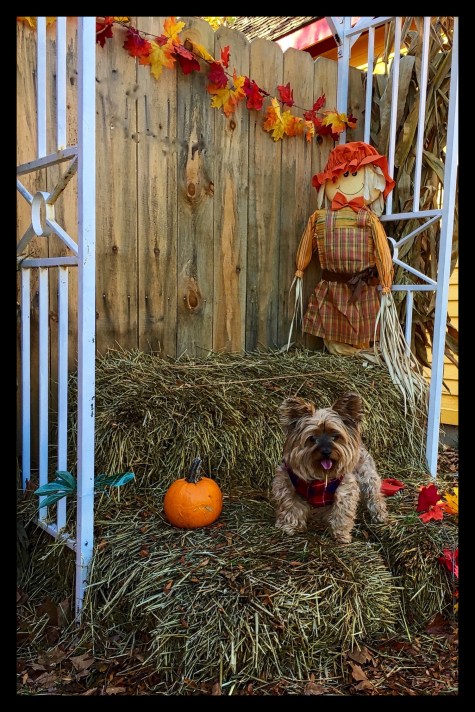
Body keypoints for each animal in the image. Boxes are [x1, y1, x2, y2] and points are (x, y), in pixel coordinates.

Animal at [271, 392, 387, 543]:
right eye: (312, 438)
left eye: (335, 436)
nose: (326, 451)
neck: (319, 476)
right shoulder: (287, 485)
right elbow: (290, 506)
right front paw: (289, 527)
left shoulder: (345, 489)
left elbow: (342, 513)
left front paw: (341, 535)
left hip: (367, 476)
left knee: (374, 495)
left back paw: (380, 516)